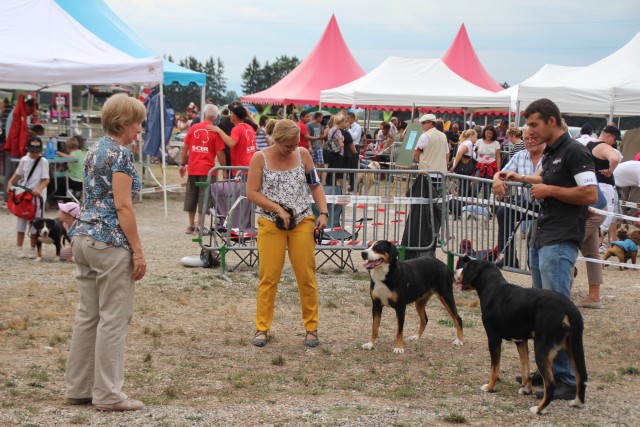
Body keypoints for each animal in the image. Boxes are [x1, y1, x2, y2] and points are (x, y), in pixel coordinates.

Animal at [456, 258, 584, 414]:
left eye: (465, 267)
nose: (455, 271)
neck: (493, 288)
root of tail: (568, 308)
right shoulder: (521, 341)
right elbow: (525, 369)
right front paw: (526, 390)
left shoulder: (493, 339)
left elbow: (494, 368)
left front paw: (490, 387)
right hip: (573, 349)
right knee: (580, 377)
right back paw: (577, 402)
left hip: (542, 348)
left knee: (550, 383)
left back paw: (539, 408)